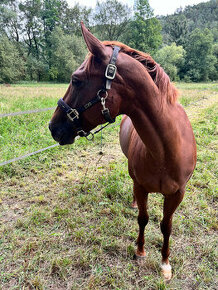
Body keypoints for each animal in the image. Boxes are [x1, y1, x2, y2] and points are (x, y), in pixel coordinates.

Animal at [49, 23, 198, 280]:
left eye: (76, 80)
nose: (53, 127)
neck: (165, 152)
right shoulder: (141, 186)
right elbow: (143, 218)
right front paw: (140, 251)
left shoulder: (177, 194)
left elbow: (166, 225)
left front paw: (165, 264)